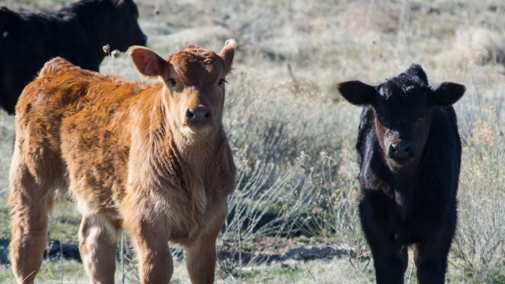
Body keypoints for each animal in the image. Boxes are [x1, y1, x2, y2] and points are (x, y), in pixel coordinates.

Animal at [7, 38, 236, 282]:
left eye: (220, 81)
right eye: (173, 81)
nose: (199, 113)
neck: (195, 174)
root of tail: (57, 68)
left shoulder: (210, 227)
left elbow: (202, 272)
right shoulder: (147, 221)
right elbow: (158, 269)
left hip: (98, 190)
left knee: (95, 245)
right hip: (29, 179)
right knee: (27, 246)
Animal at [336, 65, 466, 284]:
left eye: (421, 115)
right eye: (380, 114)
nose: (400, 148)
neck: (403, 188)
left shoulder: (443, 216)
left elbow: (430, 266)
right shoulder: (373, 215)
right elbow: (390, 266)